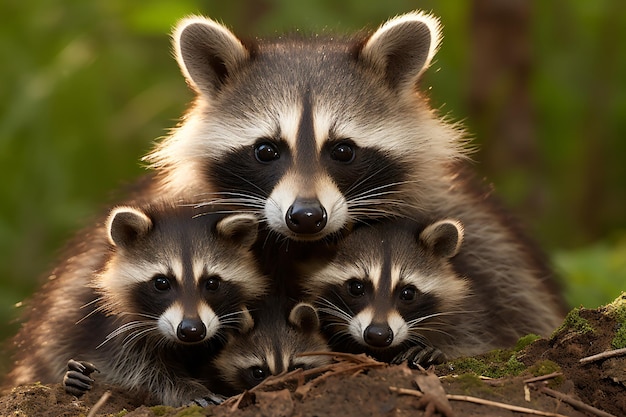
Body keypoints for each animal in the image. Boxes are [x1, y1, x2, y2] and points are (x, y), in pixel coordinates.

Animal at [5, 203, 268, 404]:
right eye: (161, 282)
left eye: (212, 283)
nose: (192, 330)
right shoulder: (108, 325)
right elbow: (135, 368)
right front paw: (187, 389)